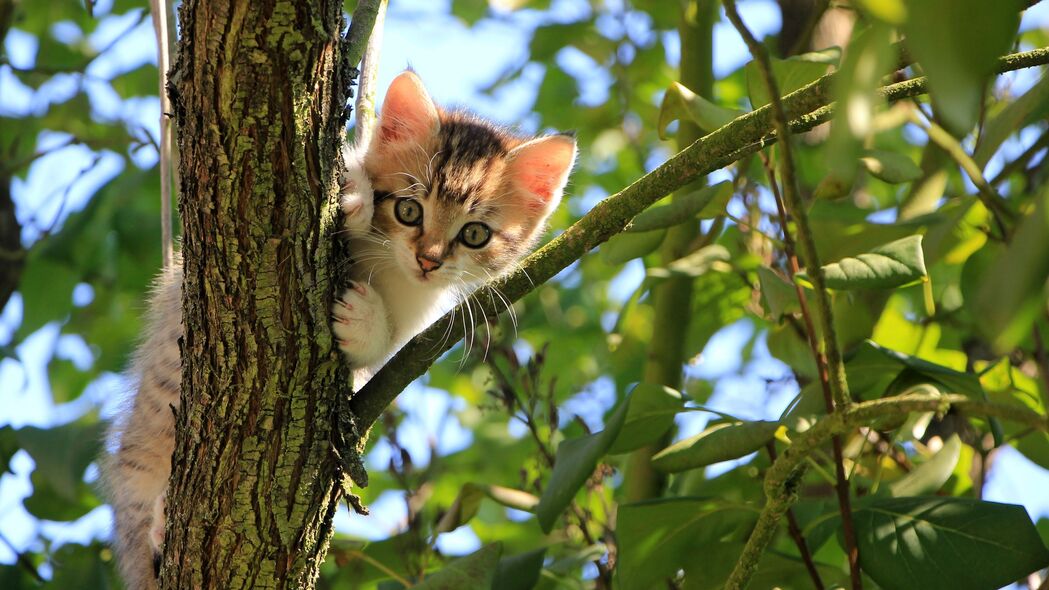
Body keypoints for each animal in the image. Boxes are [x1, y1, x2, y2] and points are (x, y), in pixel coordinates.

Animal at [103, 69, 579, 587]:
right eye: (409, 209)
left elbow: (382, 349)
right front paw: (355, 194)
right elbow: (349, 171)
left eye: (475, 234)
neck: (388, 266)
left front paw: (363, 320)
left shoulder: (415, 318)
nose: (428, 260)